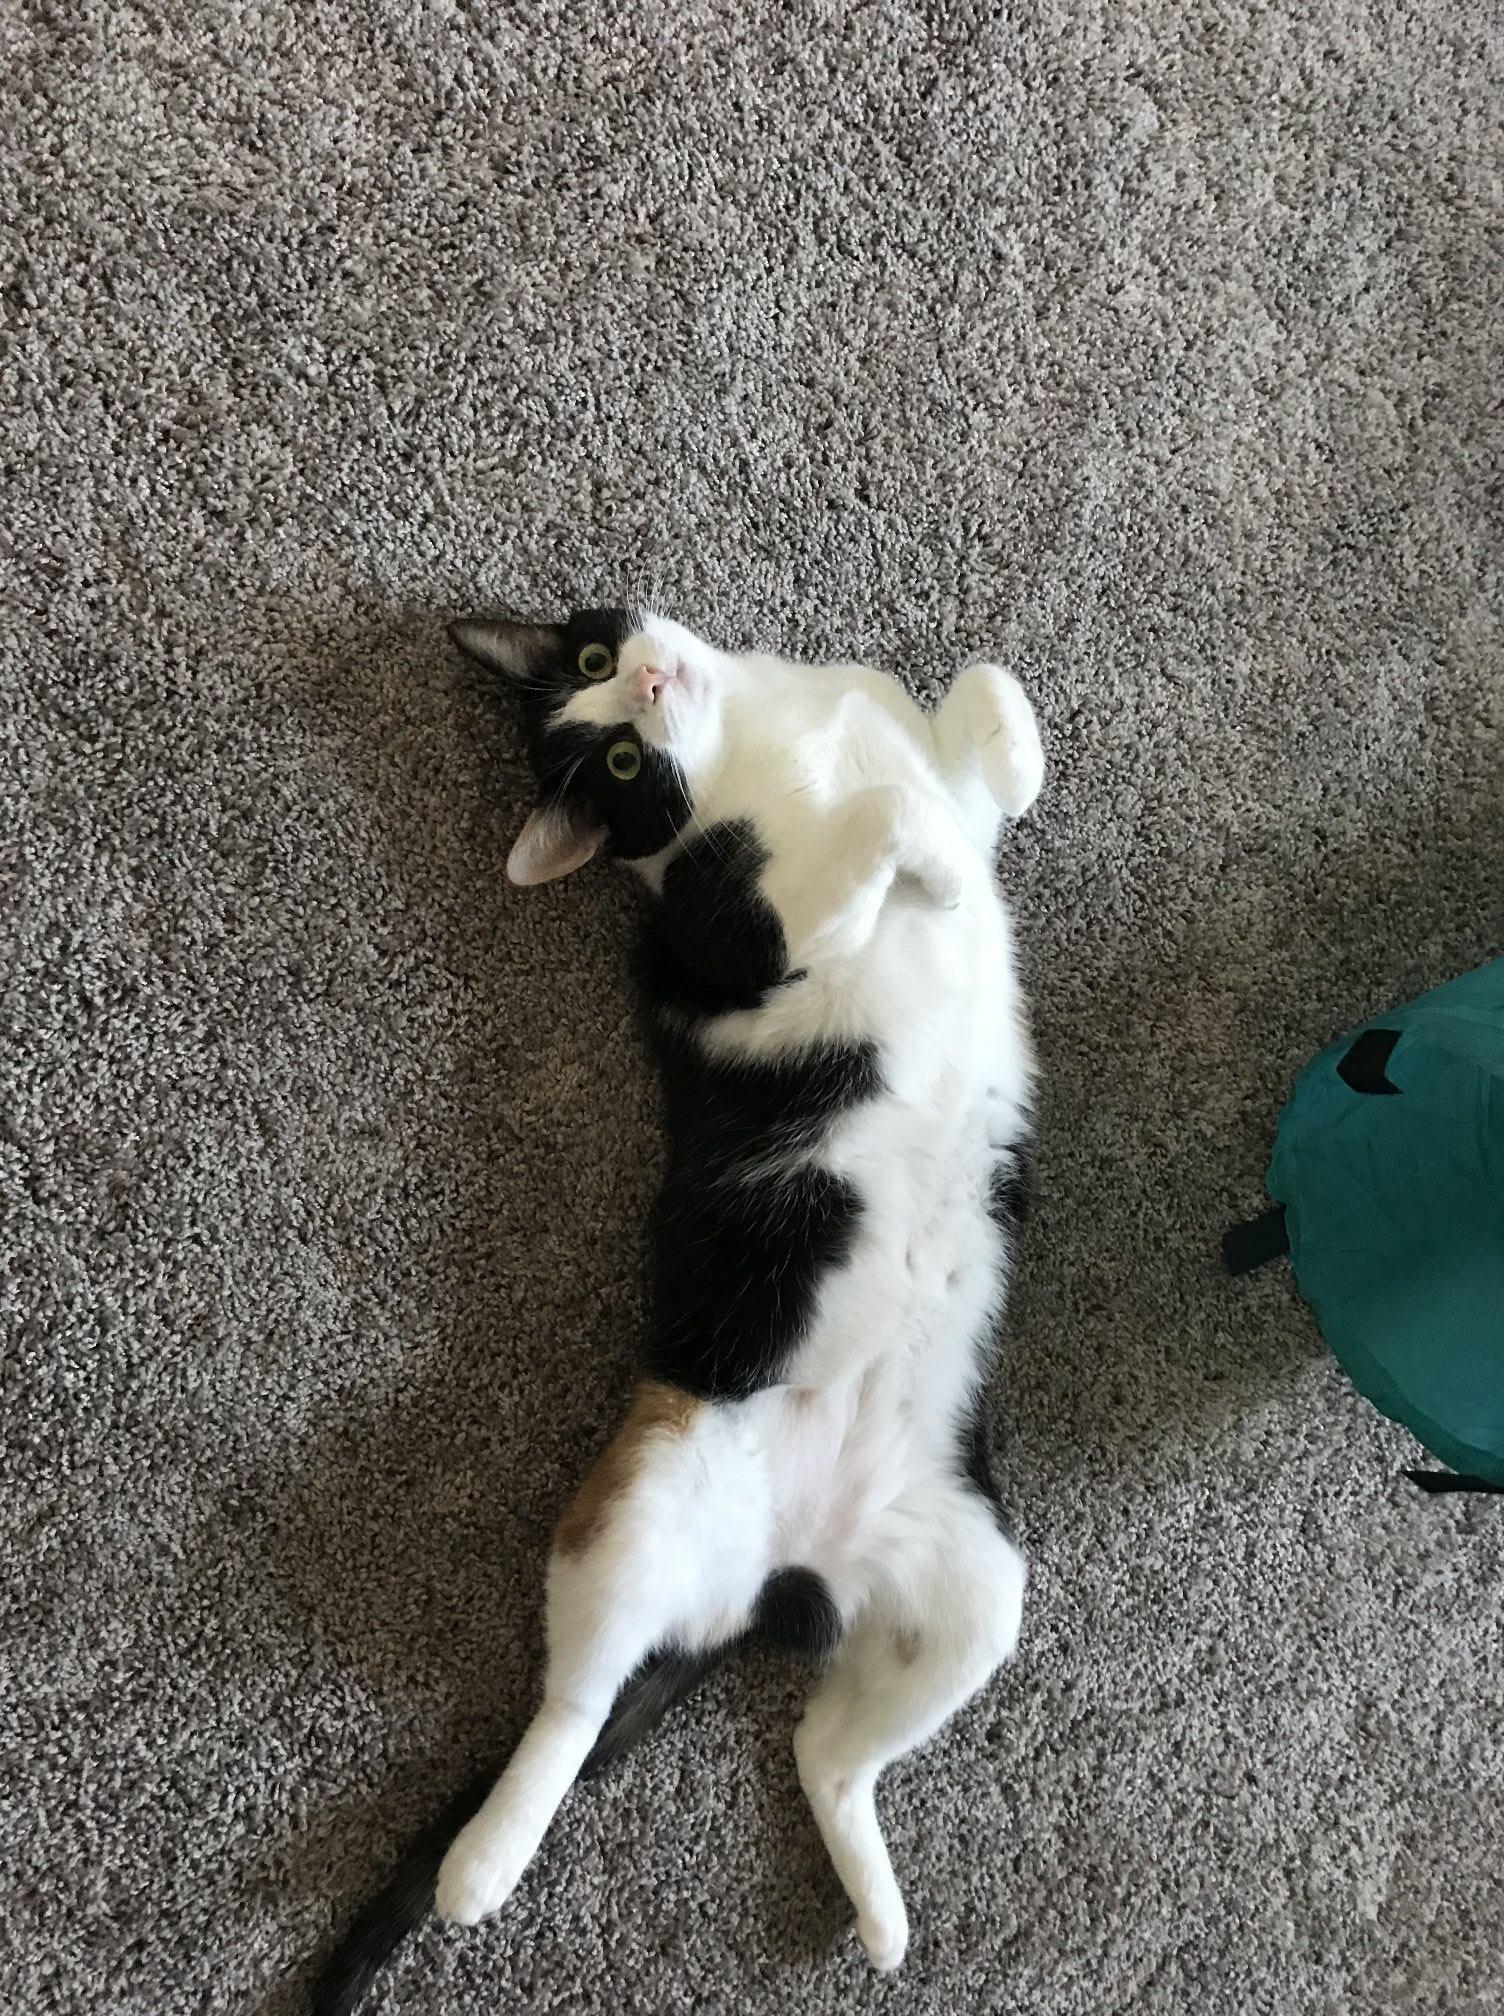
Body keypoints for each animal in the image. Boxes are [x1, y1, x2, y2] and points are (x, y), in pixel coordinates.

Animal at [311, 608, 1044, 2013]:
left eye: (596, 664)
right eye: (609, 767)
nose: (645, 683)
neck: (758, 739)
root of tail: (779, 1577)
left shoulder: (925, 742)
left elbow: (987, 706)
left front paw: (980, 801)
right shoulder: (737, 943)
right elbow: (887, 817)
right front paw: (927, 871)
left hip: (976, 1586)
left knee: (825, 1756)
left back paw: (879, 1922)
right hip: (643, 1498)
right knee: (573, 1703)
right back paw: (479, 1867)